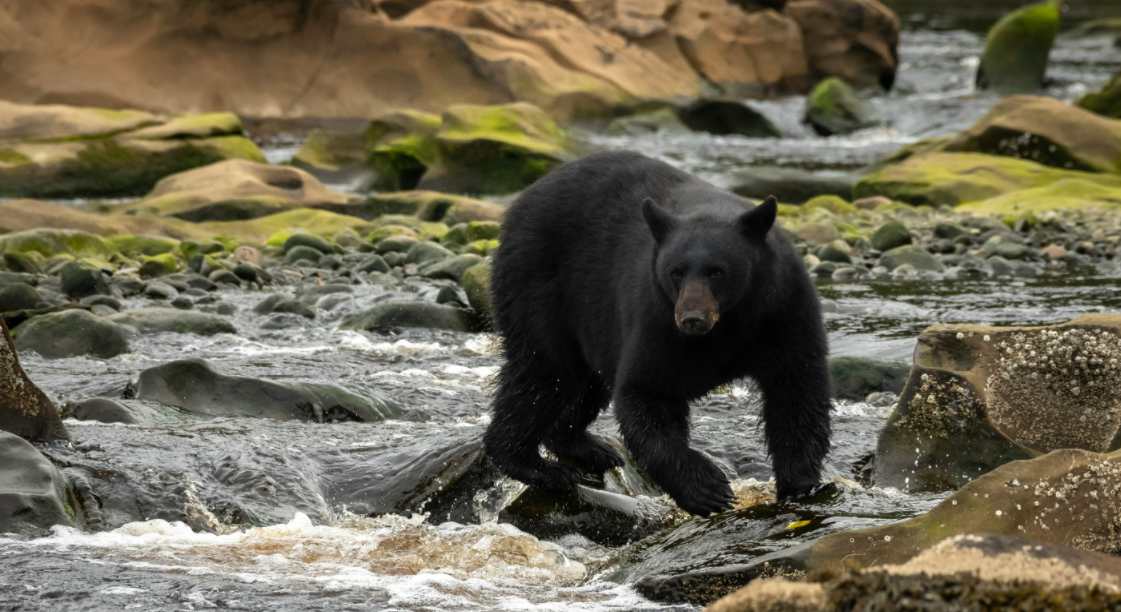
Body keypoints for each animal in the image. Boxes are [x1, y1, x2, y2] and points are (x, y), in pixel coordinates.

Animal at [484, 150, 834, 511]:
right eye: (675, 271)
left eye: (717, 271)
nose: (692, 318)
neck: (728, 324)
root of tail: (524, 198)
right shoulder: (657, 320)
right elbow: (647, 390)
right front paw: (706, 488)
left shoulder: (783, 311)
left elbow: (796, 392)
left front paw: (800, 484)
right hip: (538, 288)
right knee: (544, 375)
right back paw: (536, 466)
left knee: (581, 383)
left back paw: (588, 448)